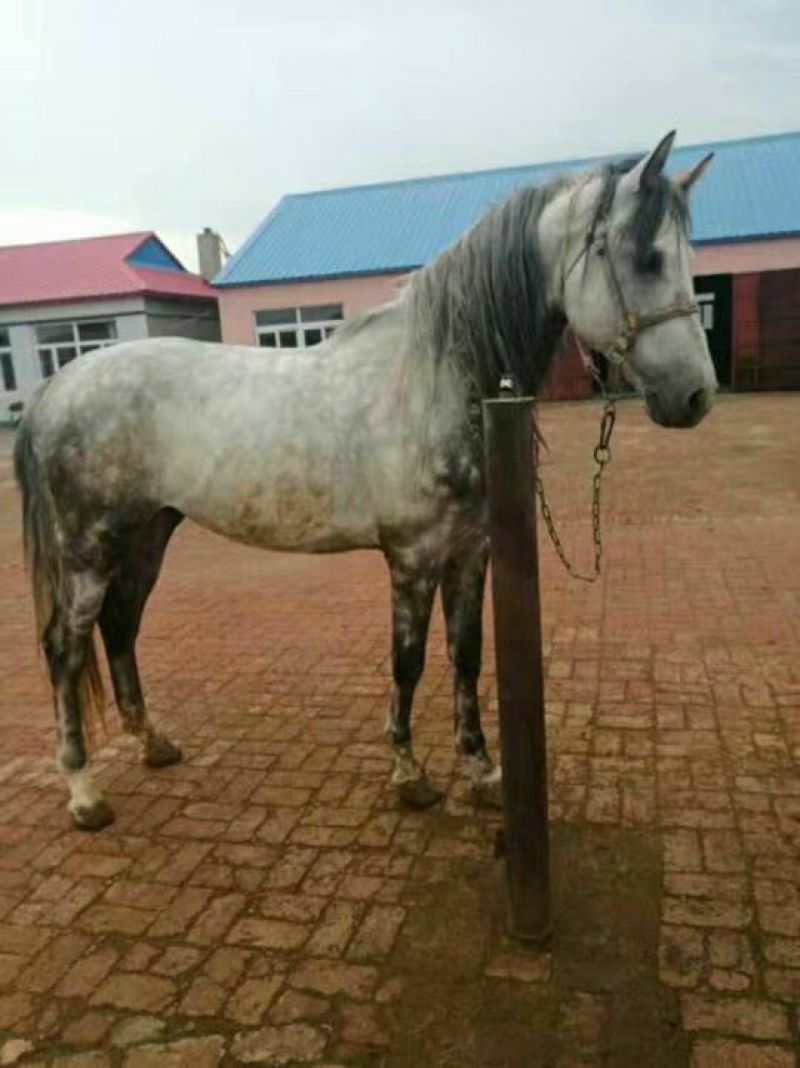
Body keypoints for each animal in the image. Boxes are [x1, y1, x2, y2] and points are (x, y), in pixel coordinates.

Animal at [15, 131, 716, 831]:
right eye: (648, 258)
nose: (696, 396)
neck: (435, 376)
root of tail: (58, 383)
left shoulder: (470, 551)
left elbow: (466, 656)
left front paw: (481, 770)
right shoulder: (413, 556)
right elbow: (408, 662)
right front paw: (410, 774)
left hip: (147, 534)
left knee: (120, 627)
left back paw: (153, 744)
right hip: (89, 549)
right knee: (64, 647)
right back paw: (83, 791)